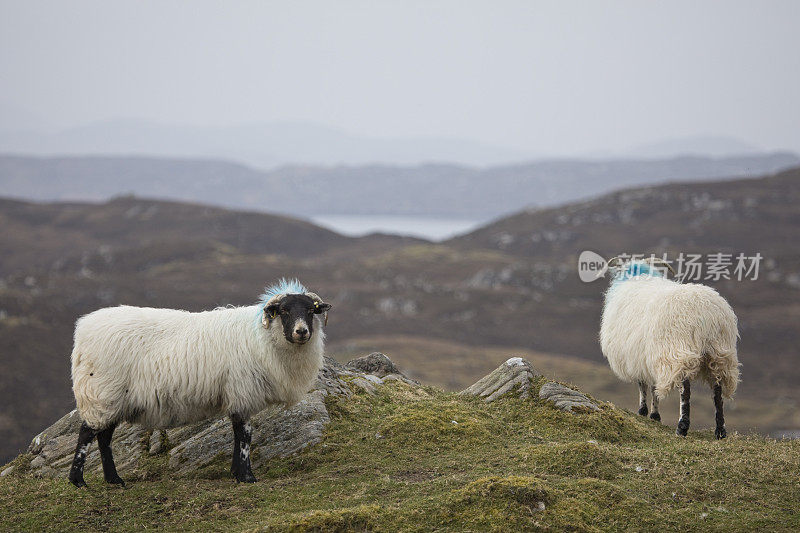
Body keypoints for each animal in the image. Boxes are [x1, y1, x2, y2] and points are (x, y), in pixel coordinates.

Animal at [68, 278, 332, 486]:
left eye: (311, 311)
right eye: (284, 311)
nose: (302, 332)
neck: (263, 336)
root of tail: (83, 329)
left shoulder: (235, 395)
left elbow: (237, 434)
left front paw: (235, 472)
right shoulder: (242, 391)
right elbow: (245, 436)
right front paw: (247, 477)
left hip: (113, 398)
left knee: (104, 438)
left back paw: (114, 480)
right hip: (101, 392)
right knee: (87, 434)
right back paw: (78, 480)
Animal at [596, 256, 740, 436]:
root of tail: (706, 313)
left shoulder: (639, 356)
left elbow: (644, 386)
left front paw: (646, 412)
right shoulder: (649, 357)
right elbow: (653, 387)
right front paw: (653, 414)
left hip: (678, 351)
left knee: (685, 389)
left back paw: (682, 427)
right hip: (720, 354)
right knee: (717, 389)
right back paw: (720, 430)